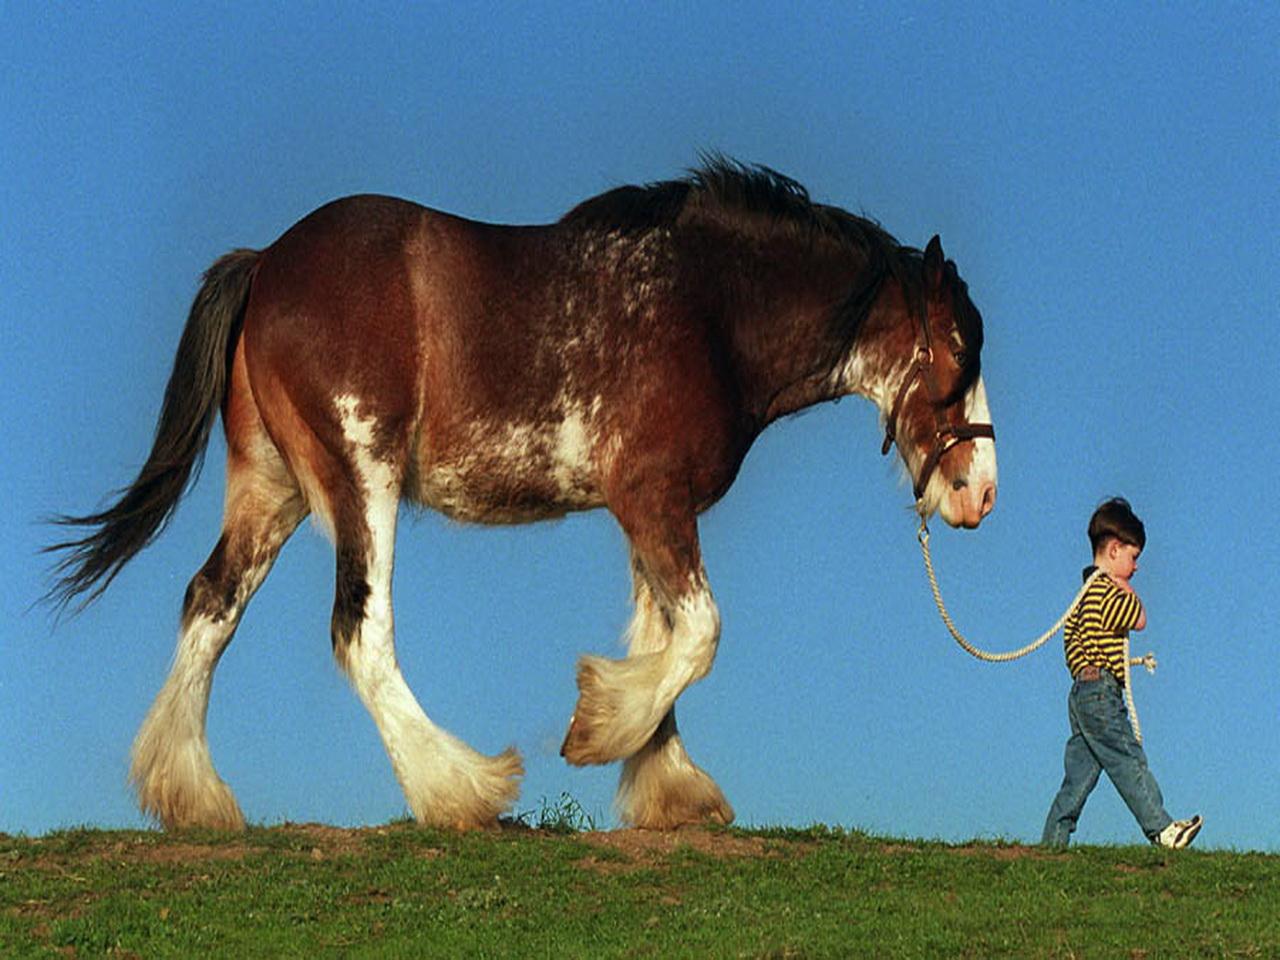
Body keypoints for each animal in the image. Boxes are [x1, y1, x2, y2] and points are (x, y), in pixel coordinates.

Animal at [45, 158, 993, 834]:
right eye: (959, 350)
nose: (979, 492)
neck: (707, 311)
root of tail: (267, 262)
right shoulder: (653, 498)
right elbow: (697, 635)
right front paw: (599, 731)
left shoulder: (648, 509)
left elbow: (663, 638)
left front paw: (663, 783)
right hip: (362, 477)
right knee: (360, 630)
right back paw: (458, 789)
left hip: (271, 489)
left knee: (210, 602)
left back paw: (192, 797)